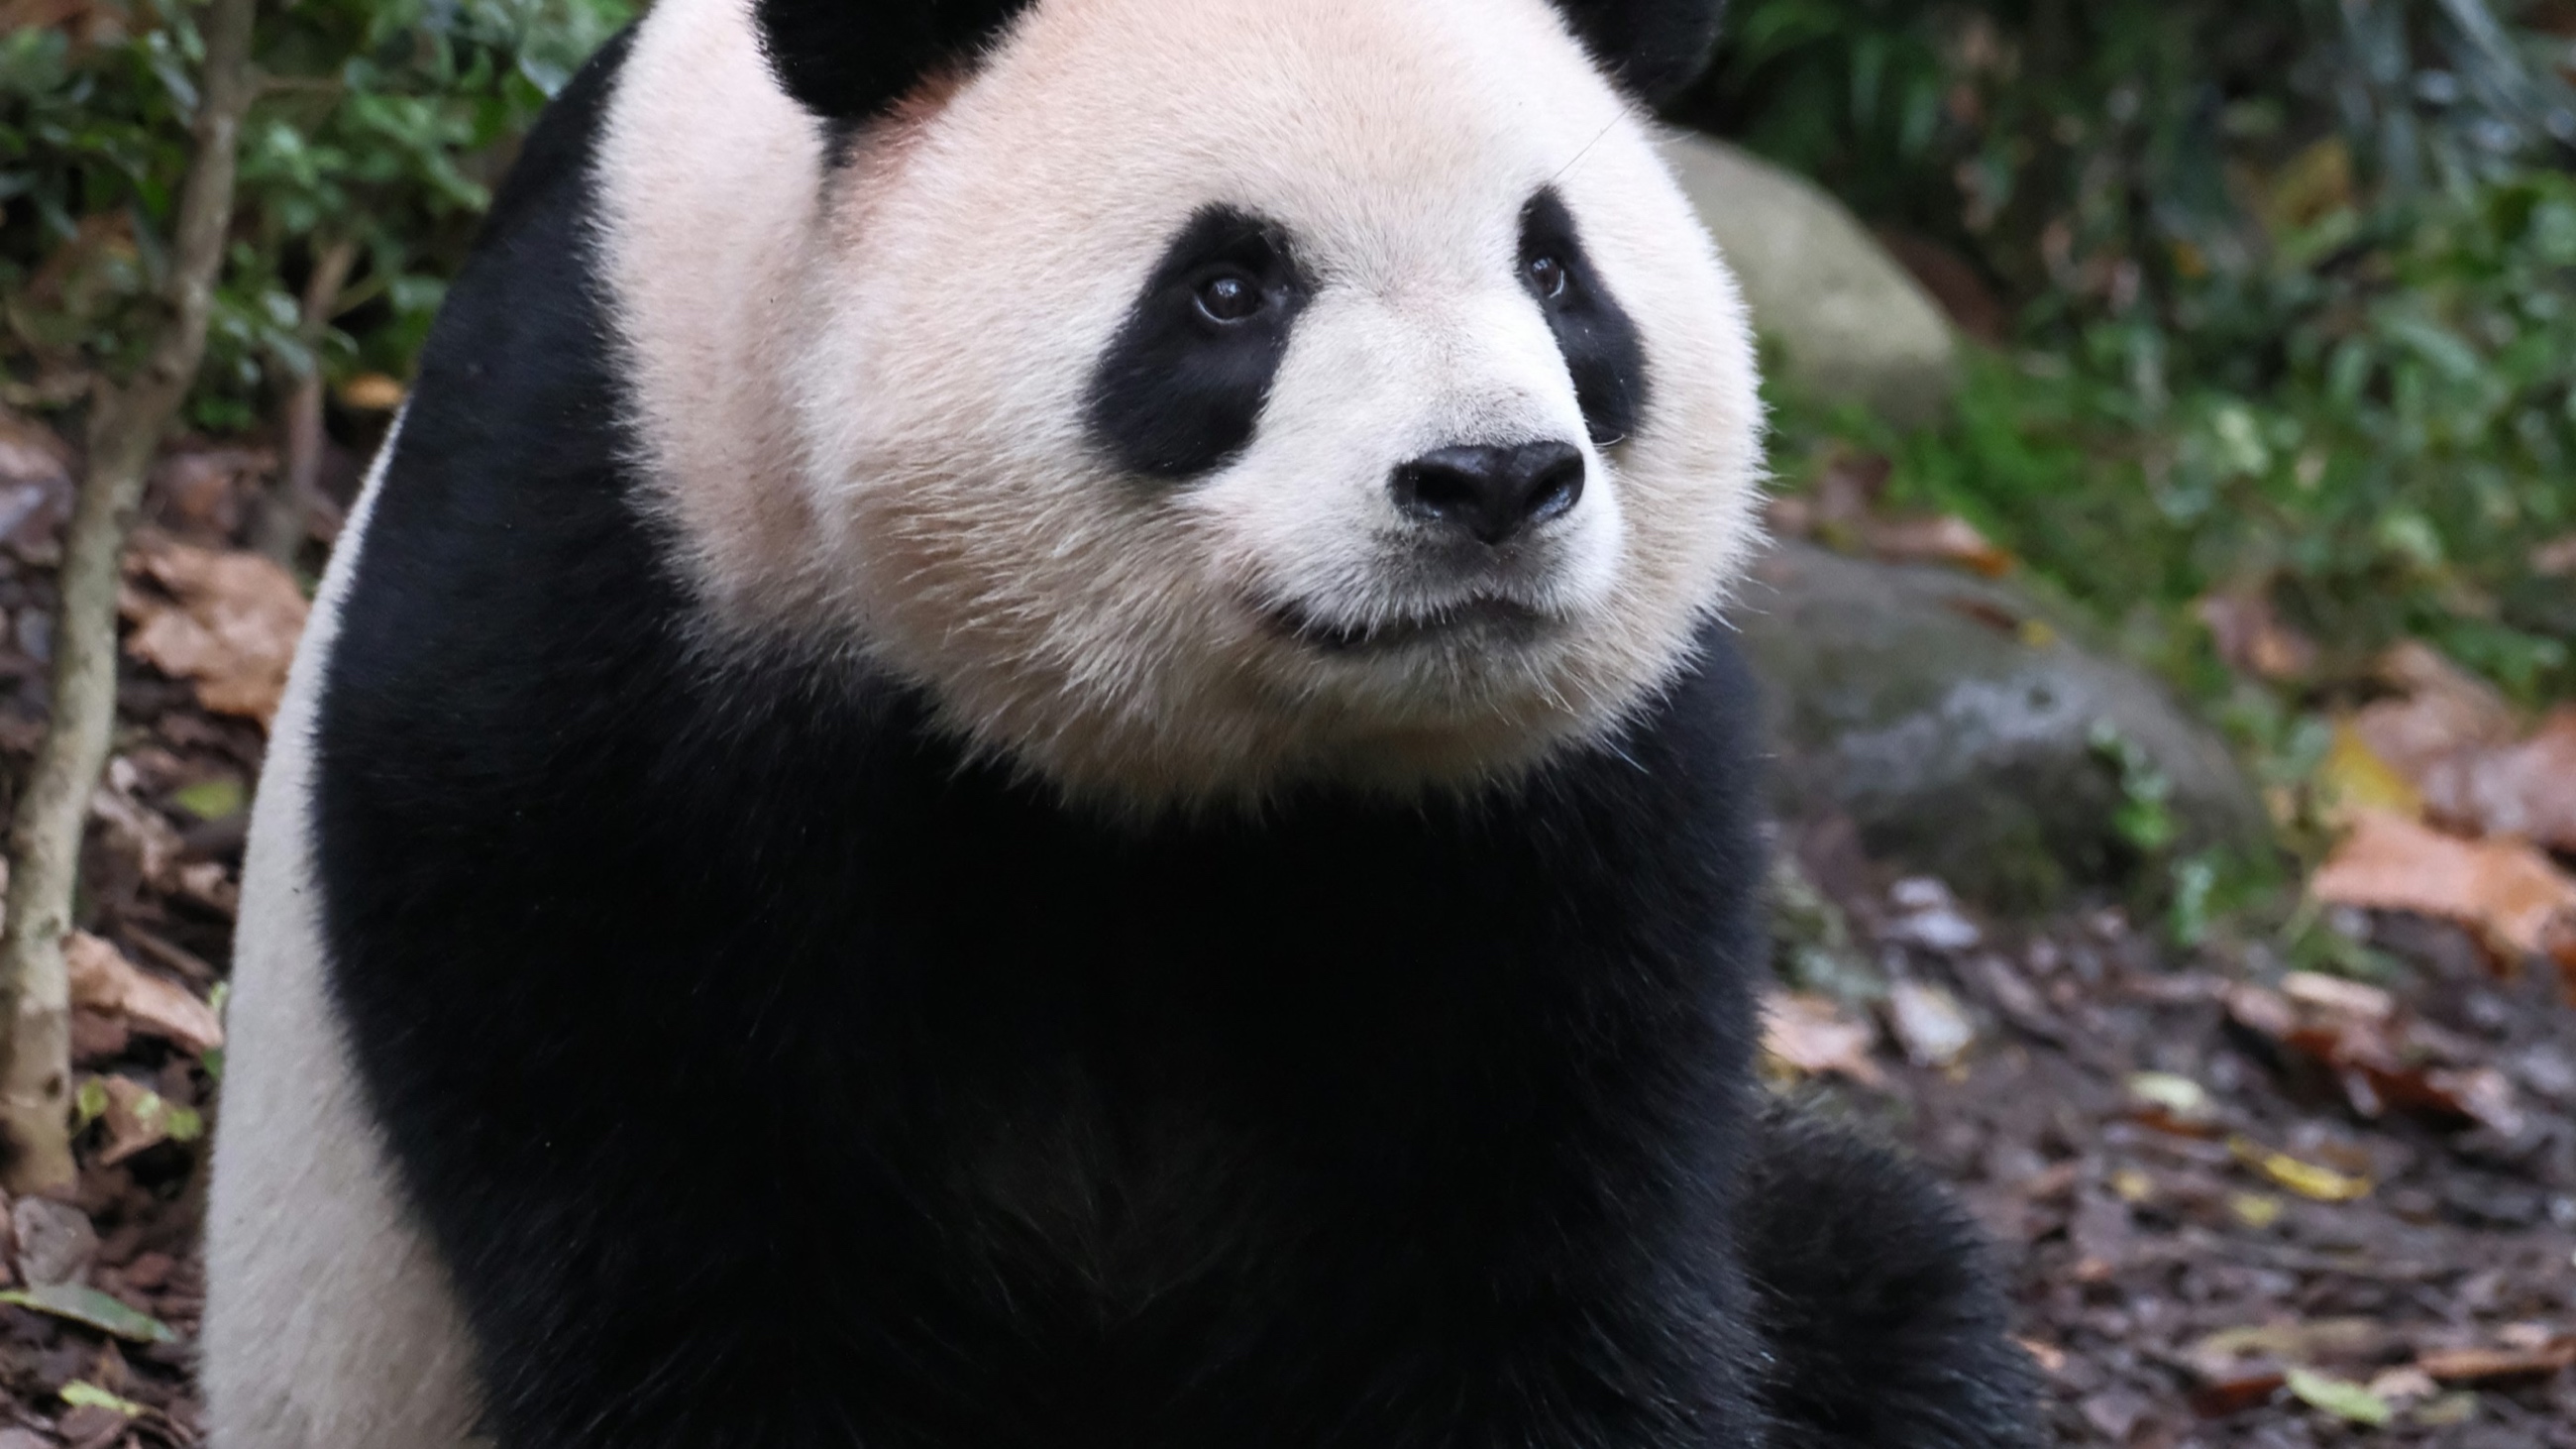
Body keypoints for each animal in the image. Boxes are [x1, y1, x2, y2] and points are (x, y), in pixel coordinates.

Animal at [202, 0, 2041, 1445]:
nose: (1493, 481)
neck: (1176, 773)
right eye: (1230, 289)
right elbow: (695, 1237)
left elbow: (1541, 1234)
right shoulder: (625, 601)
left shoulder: (1556, 801)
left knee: (1887, 1277)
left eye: (1553, 267)